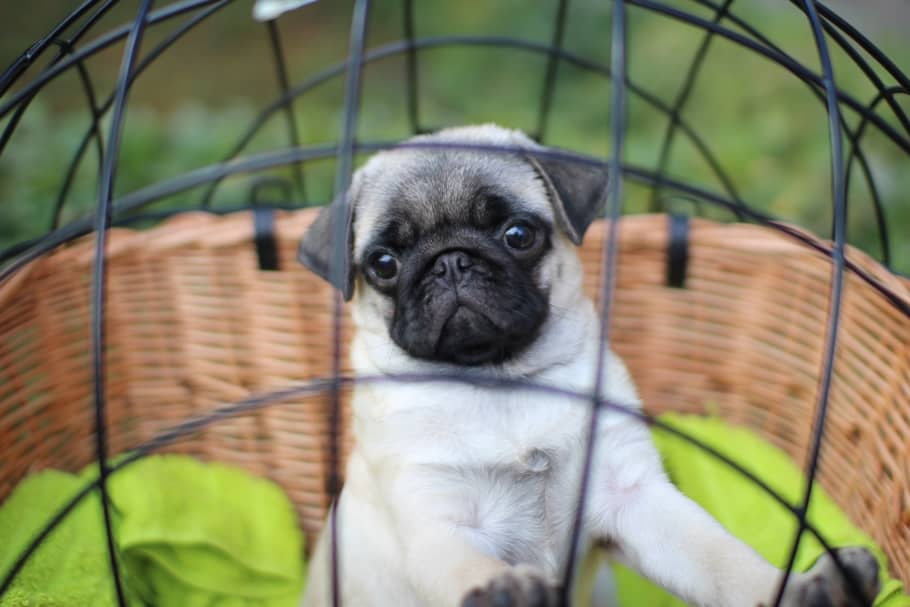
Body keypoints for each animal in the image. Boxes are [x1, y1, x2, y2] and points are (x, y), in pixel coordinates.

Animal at [300, 124, 884, 607]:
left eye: (518, 234)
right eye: (383, 264)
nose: (451, 261)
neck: (502, 382)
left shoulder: (633, 496)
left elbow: (724, 560)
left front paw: (803, 587)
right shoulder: (438, 522)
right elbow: (468, 566)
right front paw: (502, 591)